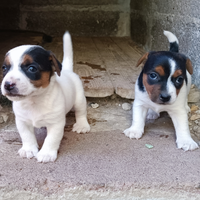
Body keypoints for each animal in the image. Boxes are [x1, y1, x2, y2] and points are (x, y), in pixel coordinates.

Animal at [1, 31, 90, 162]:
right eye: (4, 68)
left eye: (32, 68)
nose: (7, 85)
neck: (34, 100)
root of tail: (68, 70)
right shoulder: (22, 121)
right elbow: (26, 136)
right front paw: (28, 149)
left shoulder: (56, 123)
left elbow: (51, 139)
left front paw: (46, 153)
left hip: (79, 100)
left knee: (81, 112)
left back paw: (82, 125)